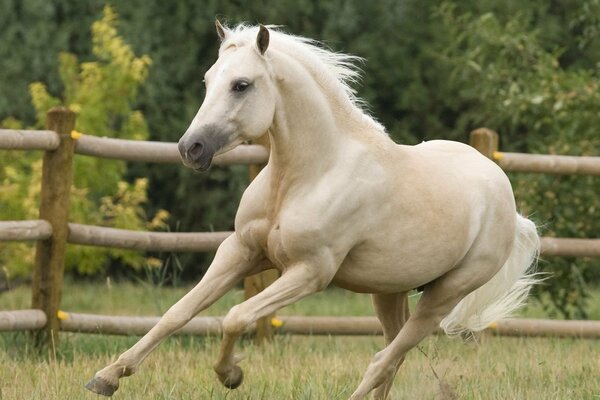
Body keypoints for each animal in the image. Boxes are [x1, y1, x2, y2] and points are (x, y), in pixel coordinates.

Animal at [86, 22, 540, 400]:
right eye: (208, 80)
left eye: (241, 85)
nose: (191, 148)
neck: (306, 176)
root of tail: (508, 201)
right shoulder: (240, 252)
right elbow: (177, 313)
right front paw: (107, 377)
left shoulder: (309, 272)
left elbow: (235, 316)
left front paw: (231, 375)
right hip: (389, 291)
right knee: (393, 355)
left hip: (445, 295)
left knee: (384, 359)